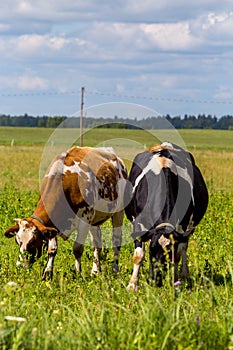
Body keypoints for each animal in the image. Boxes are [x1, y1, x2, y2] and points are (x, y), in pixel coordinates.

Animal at [3, 145, 127, 278]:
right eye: (17, 241)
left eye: (32, 242)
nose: (19, 267)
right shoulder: (52, 224)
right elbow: (52, 249)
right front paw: (47, 274)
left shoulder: (85, 219)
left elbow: (77, 248)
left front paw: (78, 273)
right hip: (95, 220)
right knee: (96, 244)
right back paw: (95, 271)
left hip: (119, 212)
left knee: (116, 241)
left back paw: (115, 270)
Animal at [124, 142, 208, 290]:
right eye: (151, 252)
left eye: (168, 254)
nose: (155, 281)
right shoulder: (138, 225)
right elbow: (138, 255)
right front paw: (132, 284)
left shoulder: (181, 228)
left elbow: (178, 254)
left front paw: (175, 281)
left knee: (184, 248)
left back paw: (184, 274)